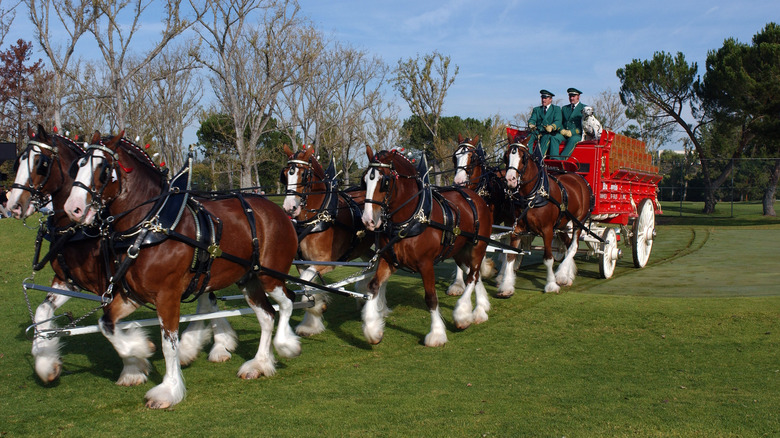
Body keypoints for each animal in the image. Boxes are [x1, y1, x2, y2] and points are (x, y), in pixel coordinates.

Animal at [6, 125, 238, 384]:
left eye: (41, 164)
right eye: (18, 162)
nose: (13, 205)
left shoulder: (109, 283)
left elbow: (110, 322)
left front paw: (133, 365)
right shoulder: (68, 281)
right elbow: (42, 311)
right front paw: (45, 363)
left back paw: (215, 346)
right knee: (206, 296)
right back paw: (212, 343)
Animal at [62, 131, 300, 408]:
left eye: (103, 169)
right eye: (77, 166)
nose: (73, 208)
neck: (151, 225)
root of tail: (279, 211)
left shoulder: (168, 295)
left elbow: (169, 344)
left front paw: (169, 389)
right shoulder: (133, 295)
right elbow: (106, 324)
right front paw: (139, 349)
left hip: (269, 276)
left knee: (287, 304)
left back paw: (286, 345)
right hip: (248, 279)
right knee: (267, 316)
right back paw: (259, 364)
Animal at [280, 146, 374, 336]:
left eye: (303, 175)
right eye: (285, 174)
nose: (289, 208)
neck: (317, 219)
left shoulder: (326, 261)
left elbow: (307, 283)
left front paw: (317, 308)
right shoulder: (303, 263)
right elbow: (307, 284)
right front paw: (311, 321)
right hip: (362, 248)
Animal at [362, 147, 494, 346]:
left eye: (384, 181)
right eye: (364, 180)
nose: (368, 220)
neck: (411, 219)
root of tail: (475, 197)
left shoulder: (426, 264)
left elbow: (431, 298)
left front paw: (437, 334)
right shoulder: (389, 260)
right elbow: (373, 286)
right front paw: (372, 329)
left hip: (477, 247)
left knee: (472, 276)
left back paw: (464, 314)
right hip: (458, 251)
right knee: (475, 273)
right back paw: (480, 309)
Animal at [506, 139, 592, 292]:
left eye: (523, 158)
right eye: (506, 156)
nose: (510, 179)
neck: (532, 196)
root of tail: (578, 177)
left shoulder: (547, 230)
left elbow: (548, 259)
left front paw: (551, 284)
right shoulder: (517, 229)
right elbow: (511, 255)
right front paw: (506, 287)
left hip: (579, 221)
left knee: (573, 246)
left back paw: (562, 275)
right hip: (563, 224)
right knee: (568, 244)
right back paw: (568, 275)